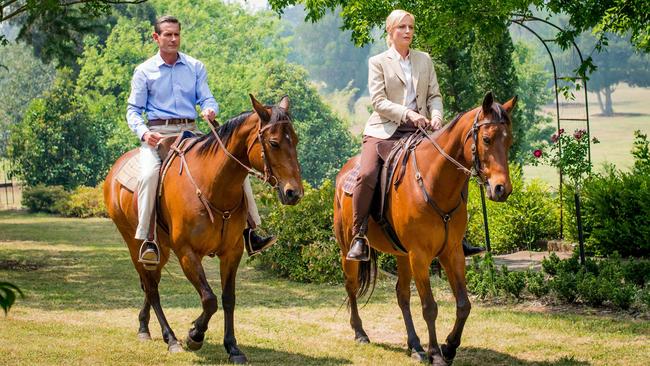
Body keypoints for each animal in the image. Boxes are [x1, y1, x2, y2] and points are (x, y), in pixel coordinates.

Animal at [103, 95, 302, 364]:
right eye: (273, 142)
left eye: (296, 140)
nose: (294, 193)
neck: (212, 186)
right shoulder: (187, 253)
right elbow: (209, 299)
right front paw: (194, 335)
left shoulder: (232, 253)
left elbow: (228, 299)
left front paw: (232, 347)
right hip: (135, 245)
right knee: (152, 289)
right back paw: (171, 339)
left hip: (161, 249)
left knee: (150, 284)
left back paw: (144, 327)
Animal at [334, 92, 516, 366]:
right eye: (486, 139)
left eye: (510, 141)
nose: (501, 189)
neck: (434, 183)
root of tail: (344, 172)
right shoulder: (420, 256)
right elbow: (430, 307)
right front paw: (437, 353)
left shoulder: (452, 252)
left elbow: (463, 304)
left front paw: (449, 347)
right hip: (348, 251)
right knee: (351, 286)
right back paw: (360, 333)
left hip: (401, 255)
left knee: (401, 295)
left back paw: (415, 346)